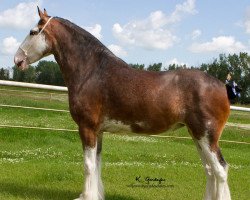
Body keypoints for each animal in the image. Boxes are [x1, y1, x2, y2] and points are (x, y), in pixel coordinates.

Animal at [15, 7, 230, 200]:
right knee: (210, 170)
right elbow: (97, 164)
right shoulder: (98, 131)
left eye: (33, 32)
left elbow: (88, 166)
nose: (17, 59)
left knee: (220, 170)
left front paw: (86, 196)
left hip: (206, 136)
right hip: (197, 135)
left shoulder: (87, 128)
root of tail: (222, 85)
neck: (92, 71)